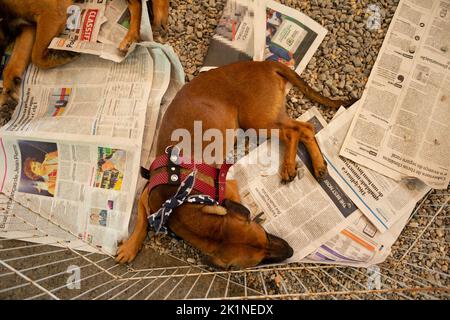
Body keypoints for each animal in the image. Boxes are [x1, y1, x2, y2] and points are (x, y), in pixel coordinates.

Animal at [0, 0, 169, 109]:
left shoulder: (52, 13)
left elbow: (36, 56)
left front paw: (63, 54)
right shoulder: (27, 27)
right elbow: (14, 63)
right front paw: (8, 88)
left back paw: (145, 28)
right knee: (137, 4)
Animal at [114, 60, 354, 270]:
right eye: (264, 239)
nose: (290, 252)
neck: (176, 201)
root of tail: (264, 64)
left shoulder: (229, 186)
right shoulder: (147, 196)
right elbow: (141, 220)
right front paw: (130, 247)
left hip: (257, 121)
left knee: (293, 132)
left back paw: (289, 166)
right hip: (267, 118)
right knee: (305, 129)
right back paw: (319, 165)